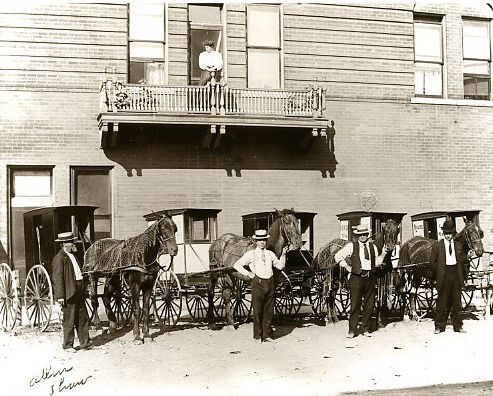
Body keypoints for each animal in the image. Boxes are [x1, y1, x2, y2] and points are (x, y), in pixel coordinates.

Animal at [81, 213, 178, 344]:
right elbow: (136, 309)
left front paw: (147, 334)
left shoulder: (148, 285)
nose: (174, 250)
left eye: (175, 228)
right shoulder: (135, 284)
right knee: (94, 300)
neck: (143, 256)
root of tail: (91, 247)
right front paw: (137, 336)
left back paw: (112, 324)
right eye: (163, 228)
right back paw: (98, 325)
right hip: (92, 276)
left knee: (106, 298)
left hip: (112, 277)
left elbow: (146, 309)